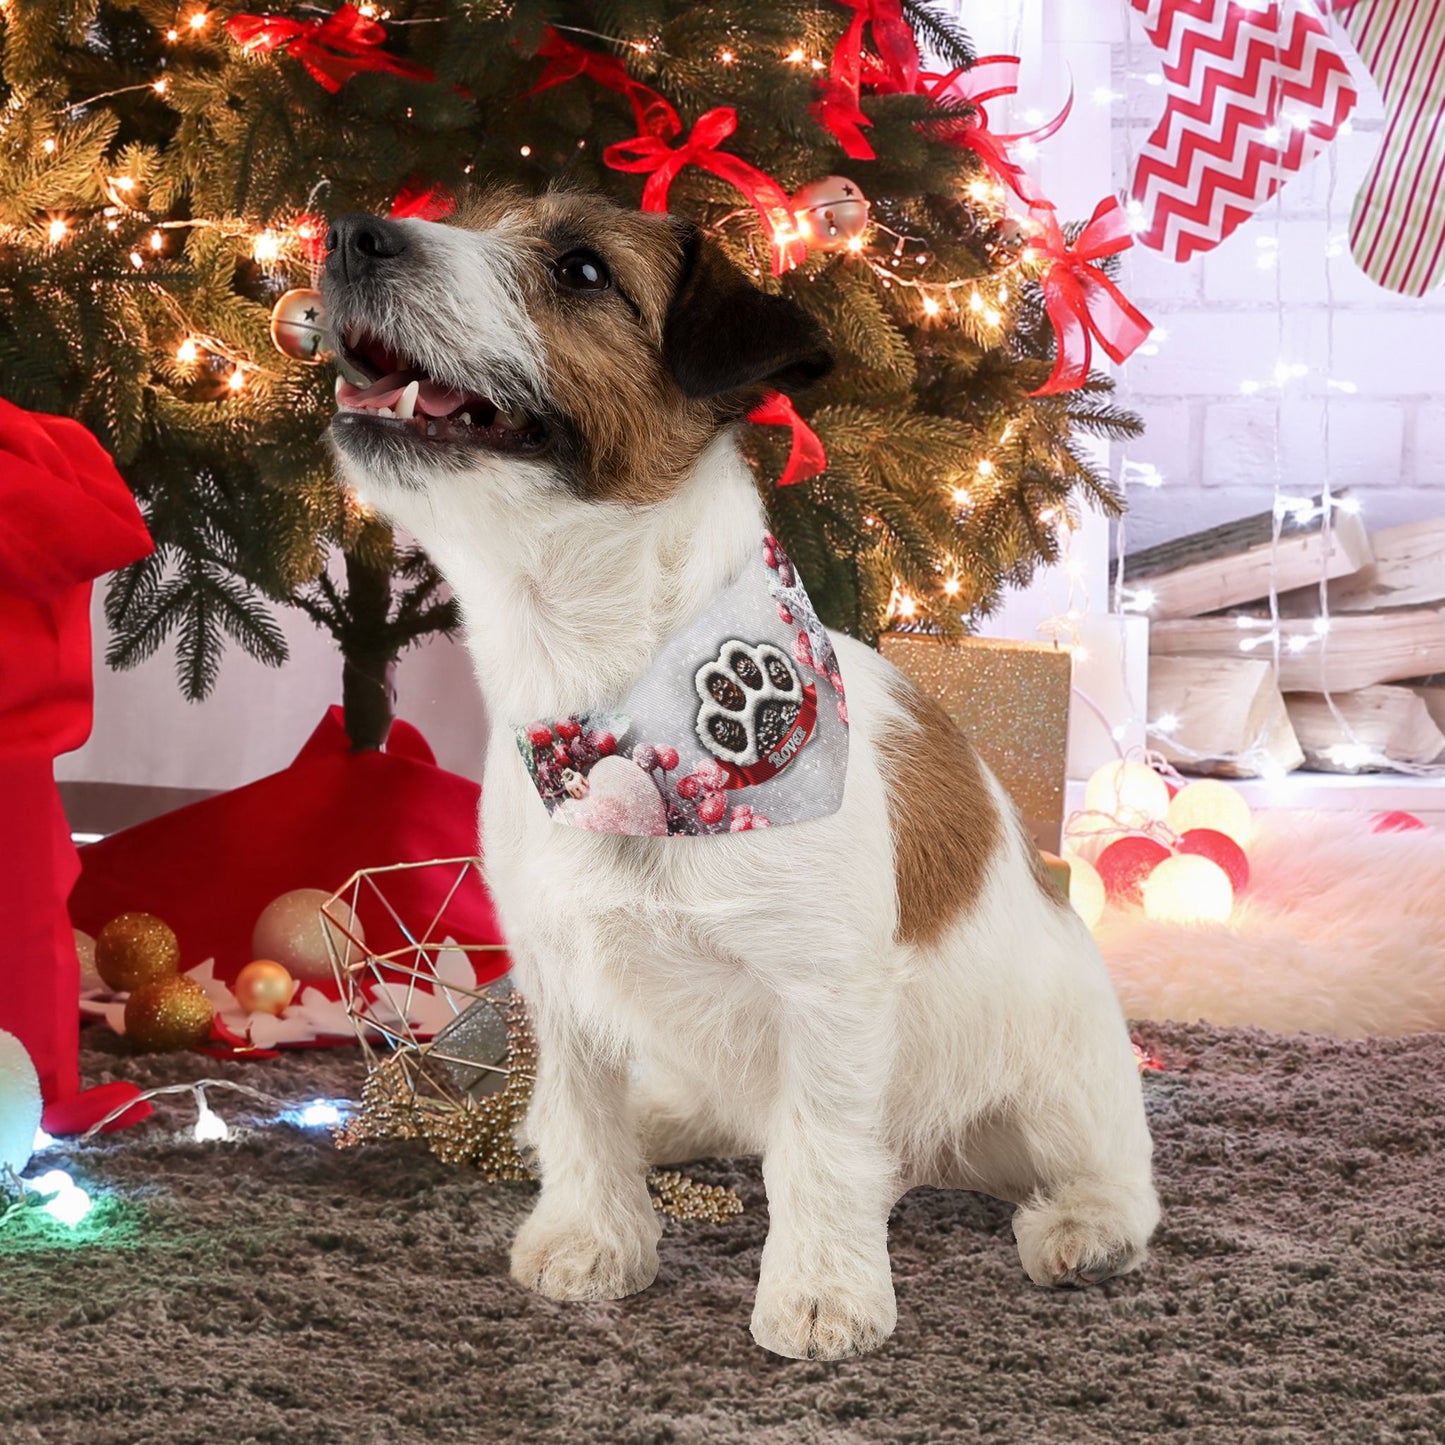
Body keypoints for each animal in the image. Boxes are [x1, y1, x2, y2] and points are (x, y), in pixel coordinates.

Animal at [322, 186, 1156, 1358]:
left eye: (581, 269)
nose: (348, 232)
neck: (610, 698)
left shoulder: (823, 993)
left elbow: (818, 1147)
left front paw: (819, 1291)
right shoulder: (559, 978)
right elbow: (579, 1112)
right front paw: (594, 1238)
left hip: (1060, 1074)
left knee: (1104, 1171)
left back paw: (1081, 1222)